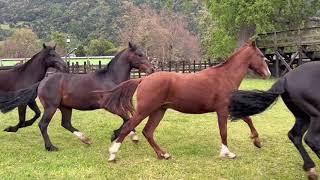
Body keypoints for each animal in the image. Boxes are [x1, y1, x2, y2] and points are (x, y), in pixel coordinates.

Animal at [0, 43, 154, 151]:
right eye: (139, 54)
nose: (152, 69)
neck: (110, 78)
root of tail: (42, 82)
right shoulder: (109, 106)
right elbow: (127, 118)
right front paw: (130, 137)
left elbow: (127, 118)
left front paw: (116, 135)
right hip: (51, 107)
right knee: (43, 124)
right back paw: (51, 147)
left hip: (65, 107)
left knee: (66, 123)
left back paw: (85, 139)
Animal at [99, 41, 270, 162]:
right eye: (261, 55)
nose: (267, 74)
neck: (224, 77)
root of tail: (143, 79)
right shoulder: (222, 110)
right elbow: (224, 131)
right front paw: (228, 153)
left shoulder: (229, 107)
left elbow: (248, 119)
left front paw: (257, 141)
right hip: (144, 110)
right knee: (128, 127)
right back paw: (113, 154)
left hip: (158, 110)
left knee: (148, 131)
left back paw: (164, 155)